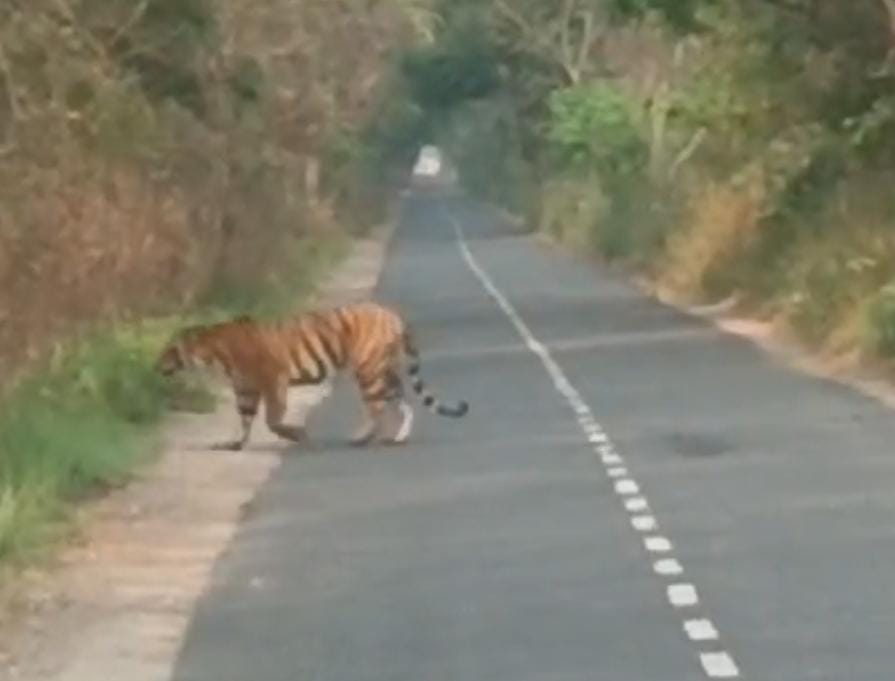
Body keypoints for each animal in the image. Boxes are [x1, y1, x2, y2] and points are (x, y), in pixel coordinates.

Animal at [154, 301, 468, 450]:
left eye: (170, 351)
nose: (156, 365)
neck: (214, 355)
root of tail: (392, 314)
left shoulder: (272, 379)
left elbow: (272, 420)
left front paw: (300, 435)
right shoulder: (245, 388)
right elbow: (245, 420)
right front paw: (234, 445)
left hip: (368, 369)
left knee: (378, 408)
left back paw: (362, 439)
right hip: (386, 370)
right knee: (403, 402)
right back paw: (399, 437)